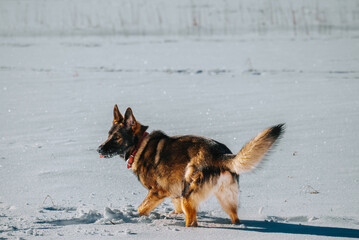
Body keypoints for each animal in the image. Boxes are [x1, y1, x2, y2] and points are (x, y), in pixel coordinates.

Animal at [97, 105, 284, 227]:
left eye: (116, 138)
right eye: (108, 135)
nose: (99, 149)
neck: (139, 145)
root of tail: (219, 154)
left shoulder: (157, 192)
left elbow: (141, 209)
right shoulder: (174, 194)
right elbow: (176, 208)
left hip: (188, 194)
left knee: (192, 222)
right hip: (225, 199)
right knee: (235, 218)